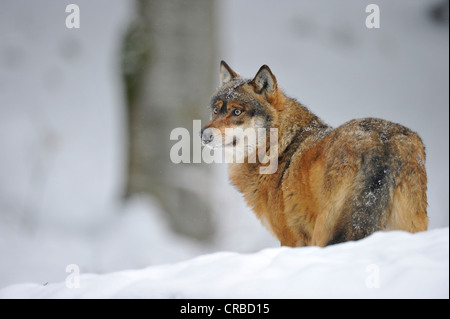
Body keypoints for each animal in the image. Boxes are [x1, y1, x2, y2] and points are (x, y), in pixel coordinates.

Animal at [201, 62, 428, 248]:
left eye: (237, 112)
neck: (279, 148)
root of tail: (381, 142)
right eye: (216, 110)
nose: (204, 134)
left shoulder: (290, 240)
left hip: (324, 232)